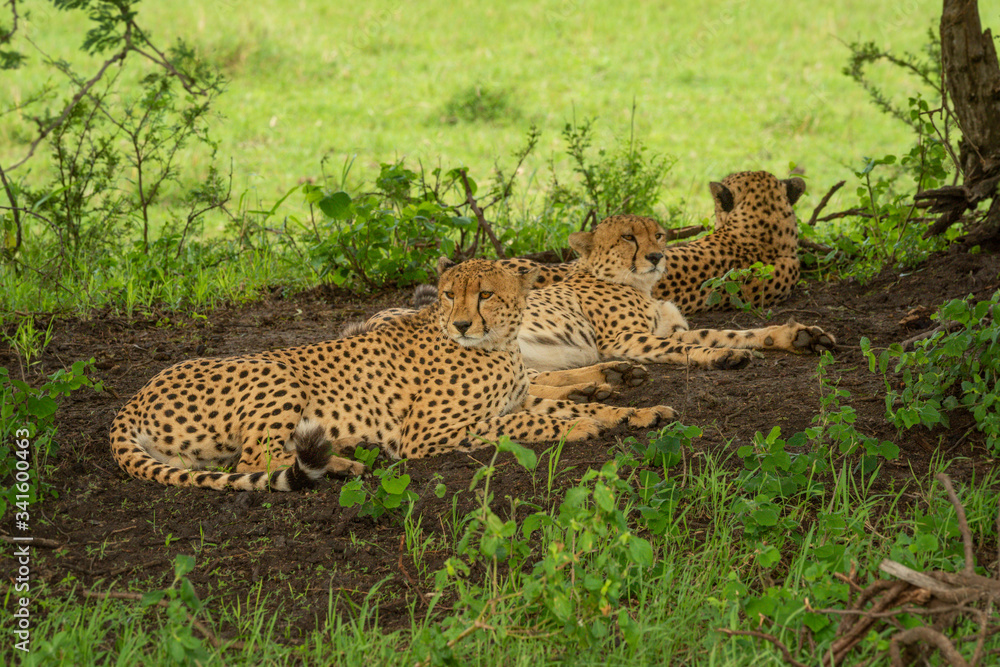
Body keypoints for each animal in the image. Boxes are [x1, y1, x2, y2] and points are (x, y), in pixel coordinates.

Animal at [109, 258, 675, 491]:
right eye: (448, 294)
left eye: (484, 294)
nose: (462, 322)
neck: (497, 343)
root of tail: (132, 398)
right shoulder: (426, 435)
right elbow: (527, 424)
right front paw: (585, 425)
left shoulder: (519, 396)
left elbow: (561, 404)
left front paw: (637, 412)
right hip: (273, 371)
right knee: (254, 460)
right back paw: (344, 464)